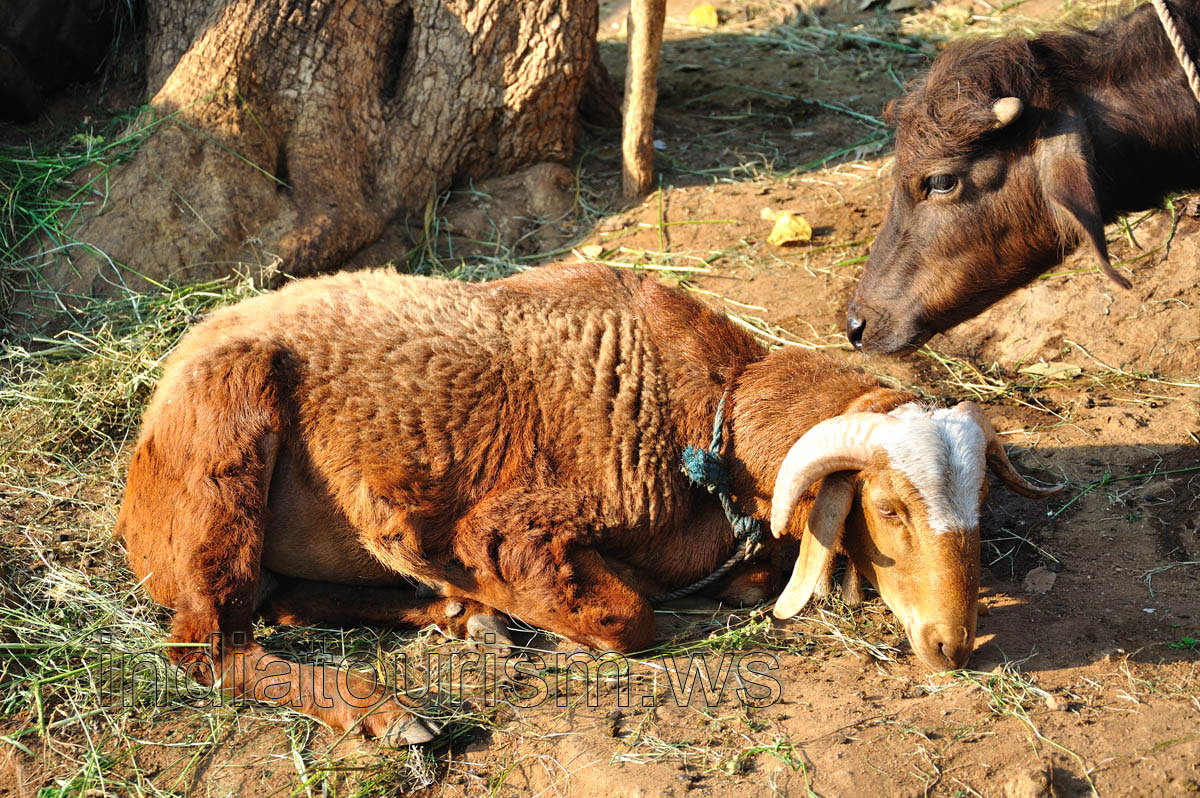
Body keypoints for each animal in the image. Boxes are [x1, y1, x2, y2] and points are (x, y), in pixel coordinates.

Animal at [116, 263, 1059, 745]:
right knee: (206, 646)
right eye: (891, 510)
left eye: (981, 503)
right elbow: (628, 619)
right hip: (222, 464)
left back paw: (458, 620)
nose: (952, 647)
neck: (710, 416)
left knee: (280, 608)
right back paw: (389, 711)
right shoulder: (508, 529)